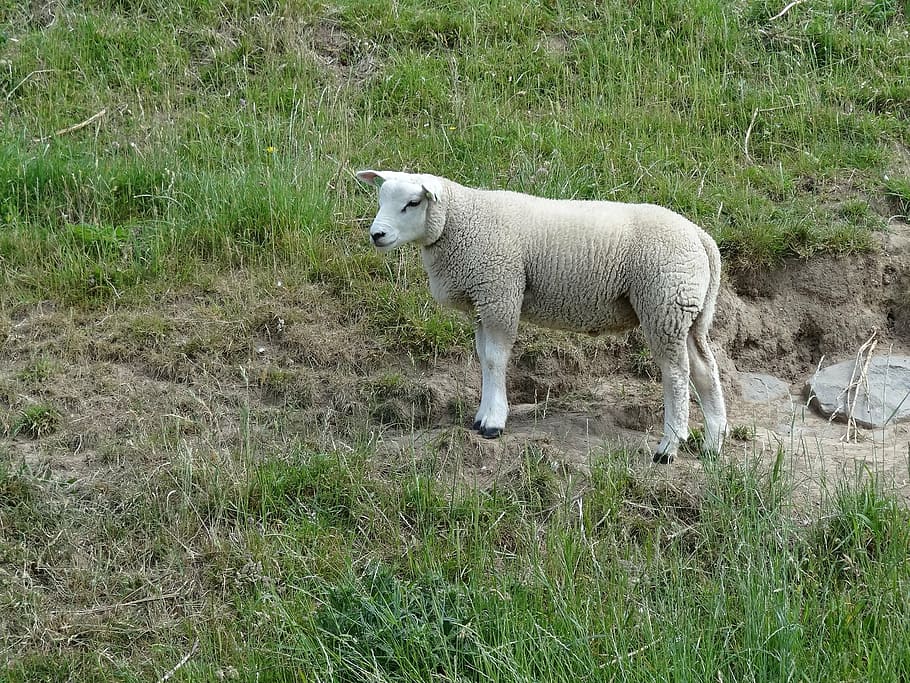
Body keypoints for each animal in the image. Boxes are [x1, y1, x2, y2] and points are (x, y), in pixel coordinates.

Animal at [355, 169, 727, 463]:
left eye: (412, 203)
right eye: (381, 198)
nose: (377, 235)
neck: (460, 220)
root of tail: (700, 237)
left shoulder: (500, 292)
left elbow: (495, 359)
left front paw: (493, 422)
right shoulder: (483, 303)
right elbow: (483, 358)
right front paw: (481, 416)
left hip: (664, 303)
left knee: (676, 375)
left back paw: (669, 446)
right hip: (688, 312)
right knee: (704, 370)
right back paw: (713, 442)